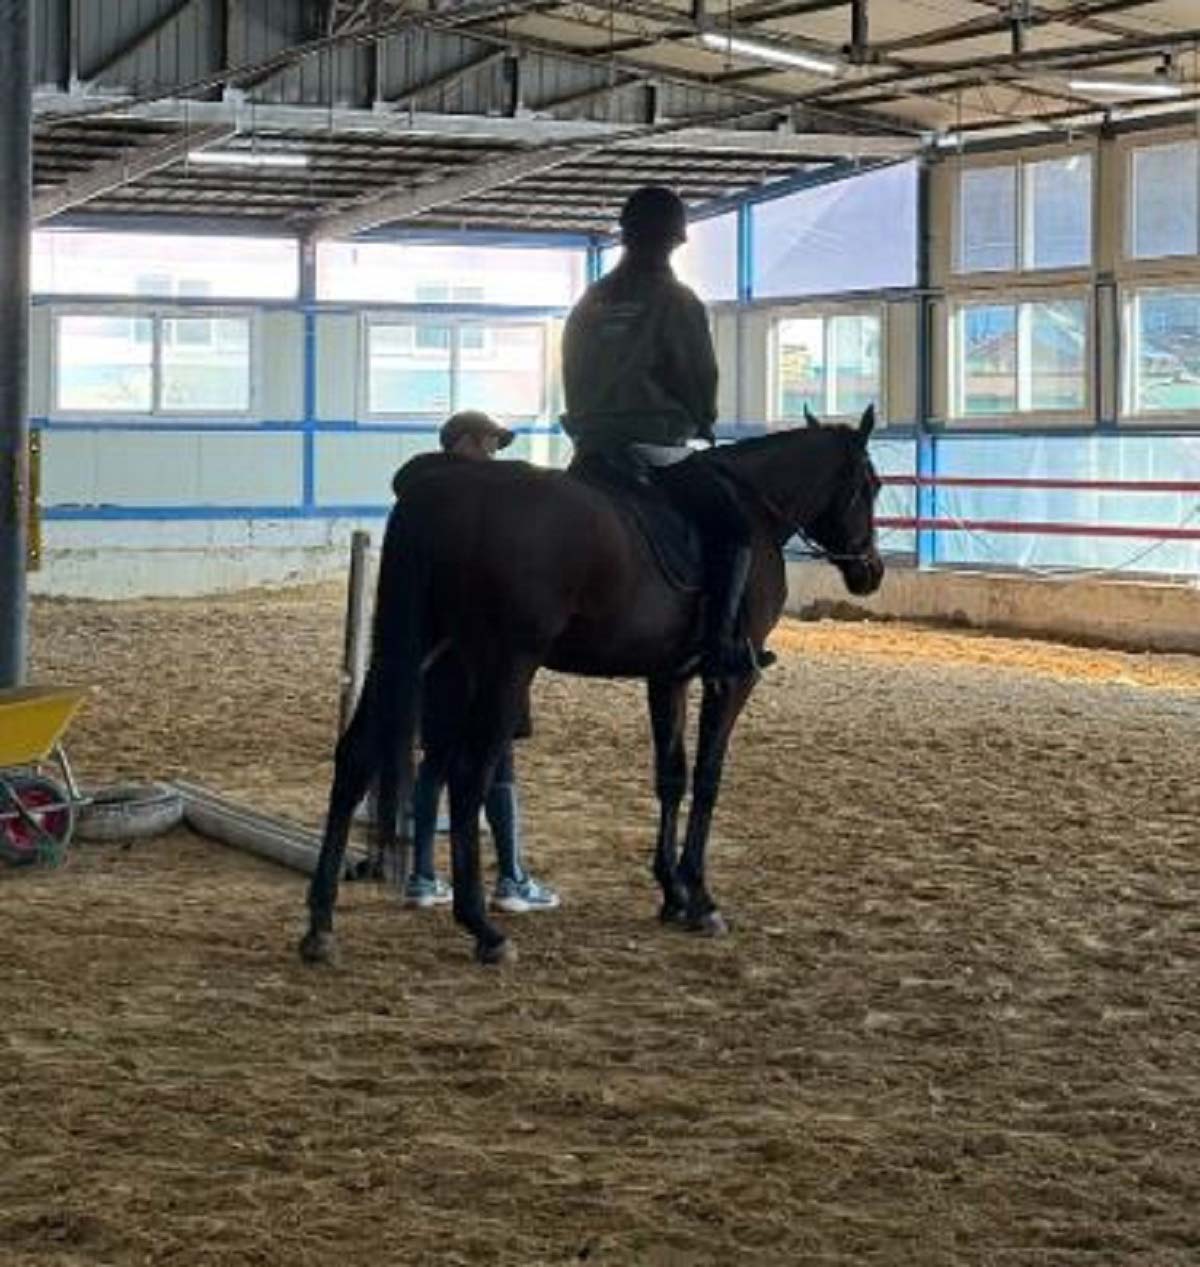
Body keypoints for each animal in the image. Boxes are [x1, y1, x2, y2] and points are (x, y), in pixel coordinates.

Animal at [300, 405, 884, 966]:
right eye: (871, 485)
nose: (871, 572)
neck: (757, 507)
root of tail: (443, 492)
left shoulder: (668, 675)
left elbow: (670, 776)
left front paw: (672, 894)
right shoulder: (731, 679)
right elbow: (708, 778)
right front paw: (700, 898)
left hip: (416, 652)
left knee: (356, 757)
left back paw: (320, 925)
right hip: (505, 665)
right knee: (467, 777)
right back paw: (483, 930)